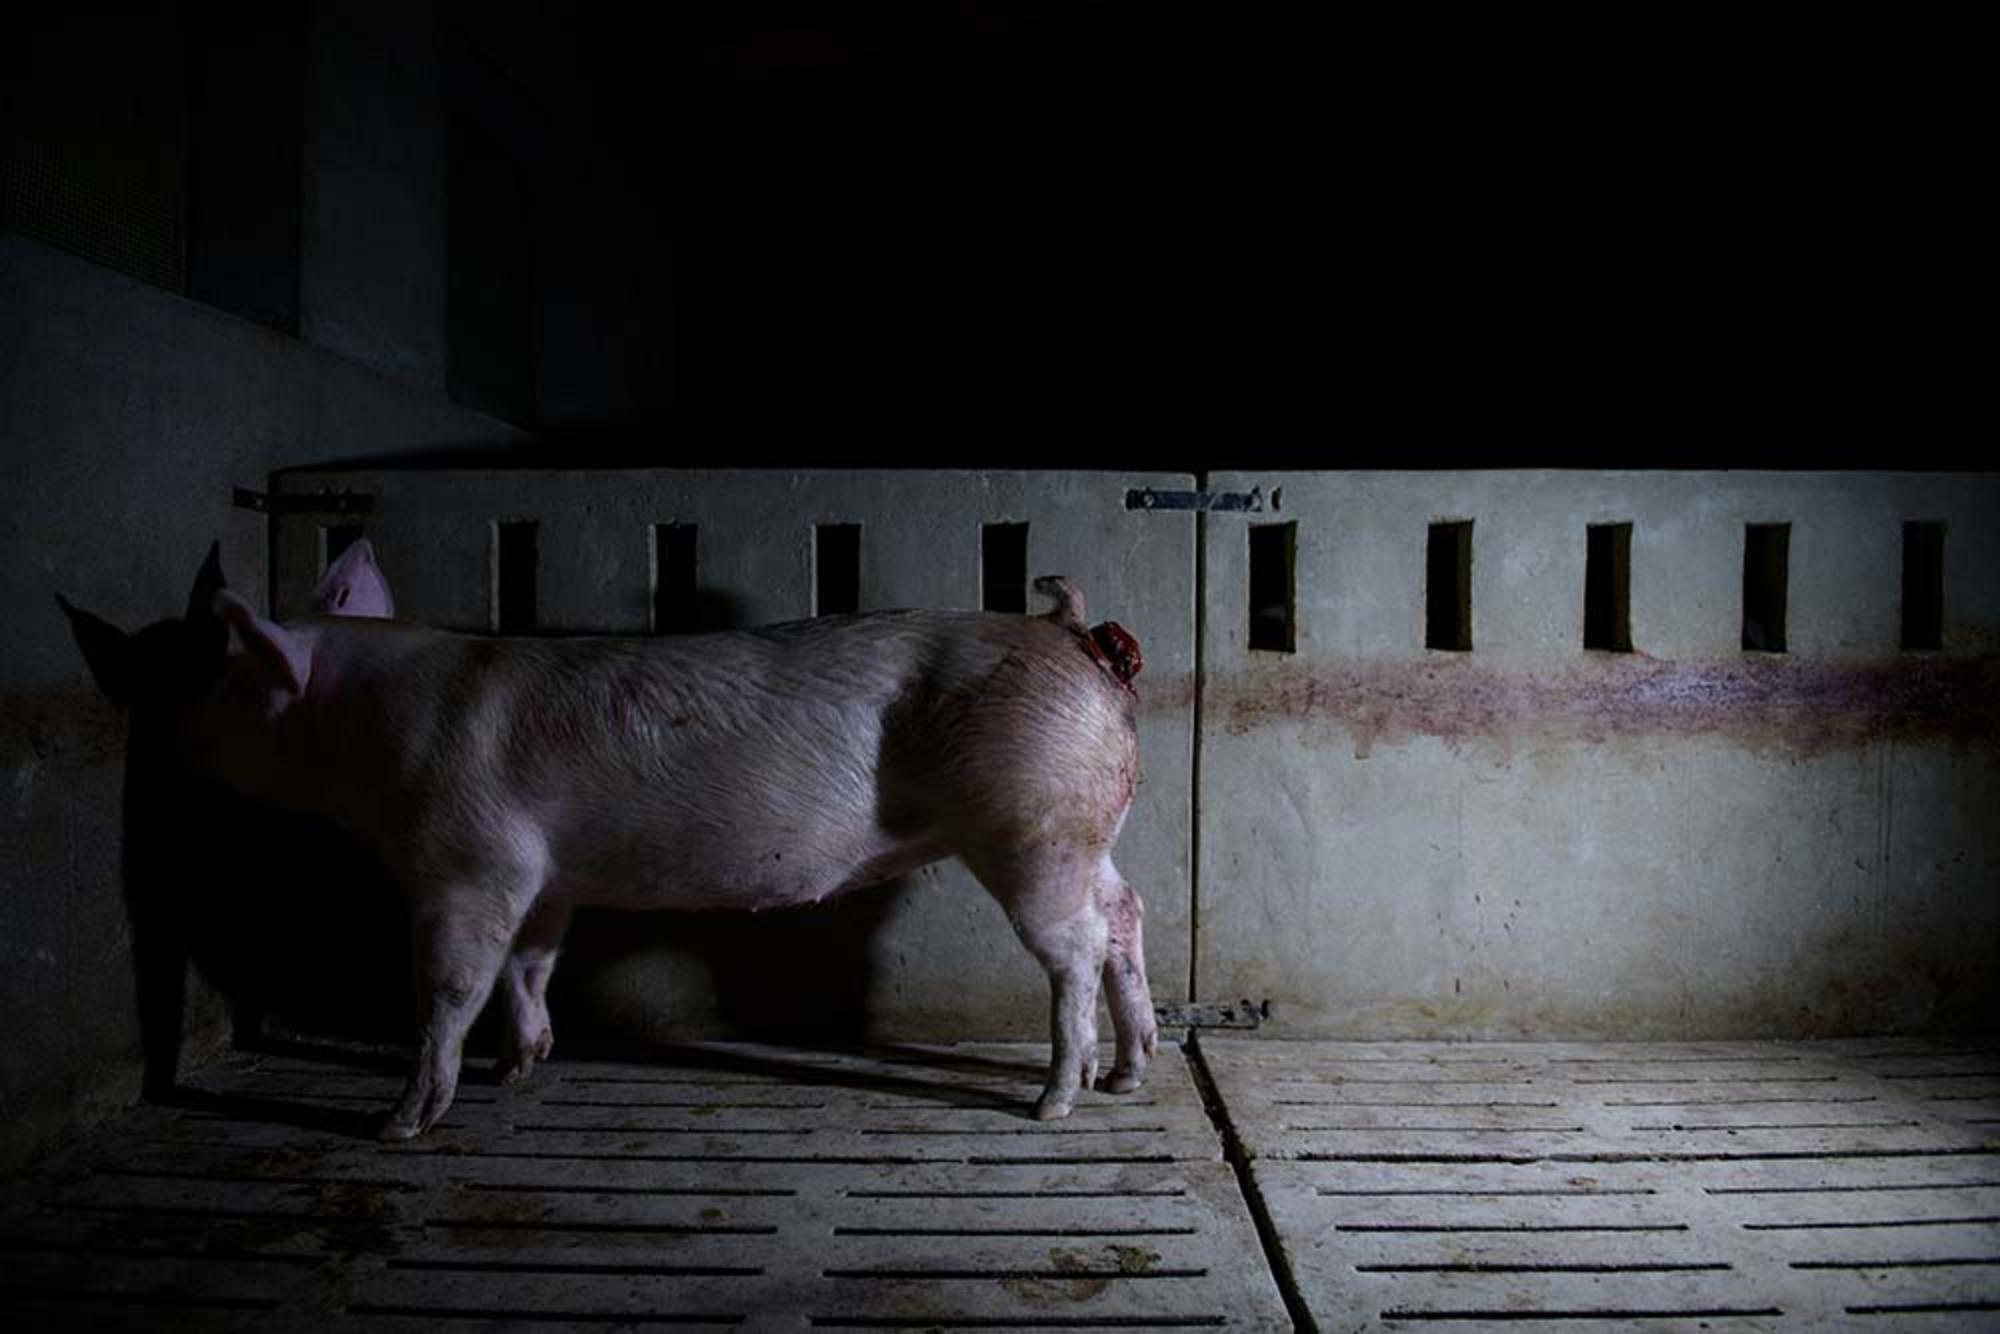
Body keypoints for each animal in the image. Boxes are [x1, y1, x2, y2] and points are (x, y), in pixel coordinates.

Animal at [62, 540, 1160, 1136]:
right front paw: (521, 1068)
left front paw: (396, 1122)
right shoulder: (546, 875)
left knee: (1071, 948)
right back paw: (1129, 1071)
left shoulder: (466, 861)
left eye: (218, 678)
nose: (150, 720)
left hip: (1027, 822)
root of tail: (1072, 637)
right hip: (1083, 825)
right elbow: (532, 964)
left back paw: (1056, 1099)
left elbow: (450, 986)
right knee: (1123, 910)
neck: (365, 733)